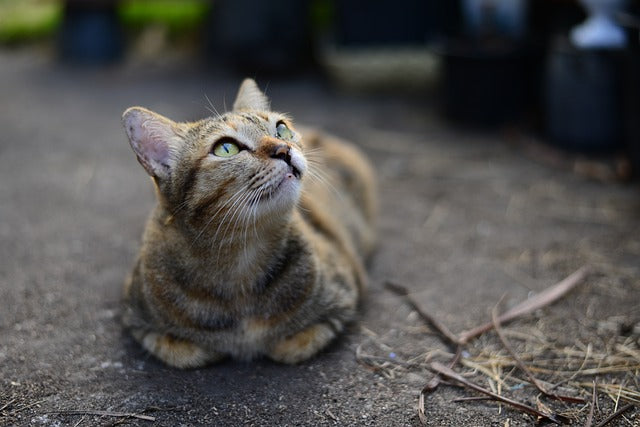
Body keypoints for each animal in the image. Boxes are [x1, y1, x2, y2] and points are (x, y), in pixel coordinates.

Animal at [121, 79, 376, 368]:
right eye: (226, 148)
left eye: (281, 129)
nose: (284, 150)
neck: (240, 259)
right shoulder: (137, 319)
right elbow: (186, 352)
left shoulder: (344, 297)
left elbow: (290, 346)